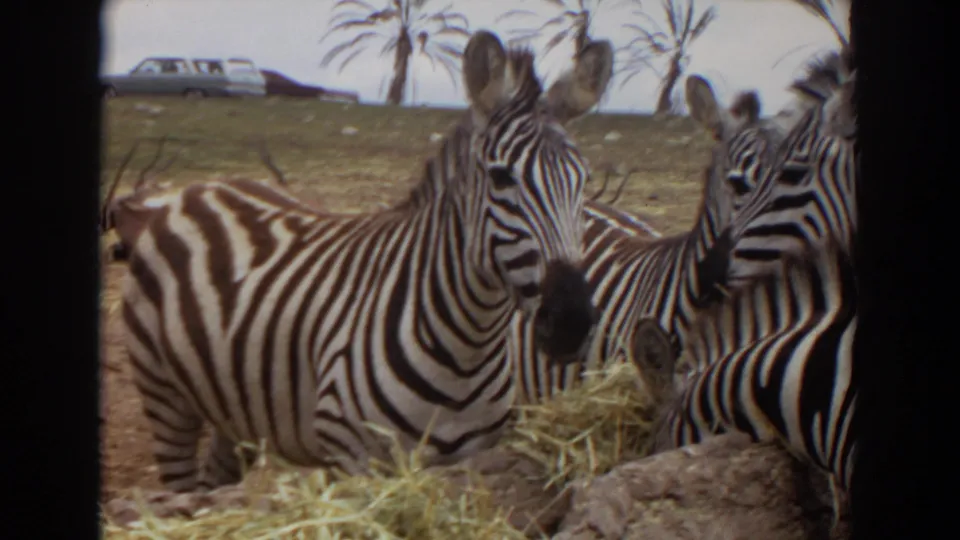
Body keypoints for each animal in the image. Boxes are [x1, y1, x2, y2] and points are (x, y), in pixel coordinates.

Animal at [109, 30, 614, 493]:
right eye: (502, 178)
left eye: (584, 181)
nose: (571, 322)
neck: (467, 346)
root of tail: (196, 189)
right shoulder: (354, 459)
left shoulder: (470, 456)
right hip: (164, 397)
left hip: (234, 407)